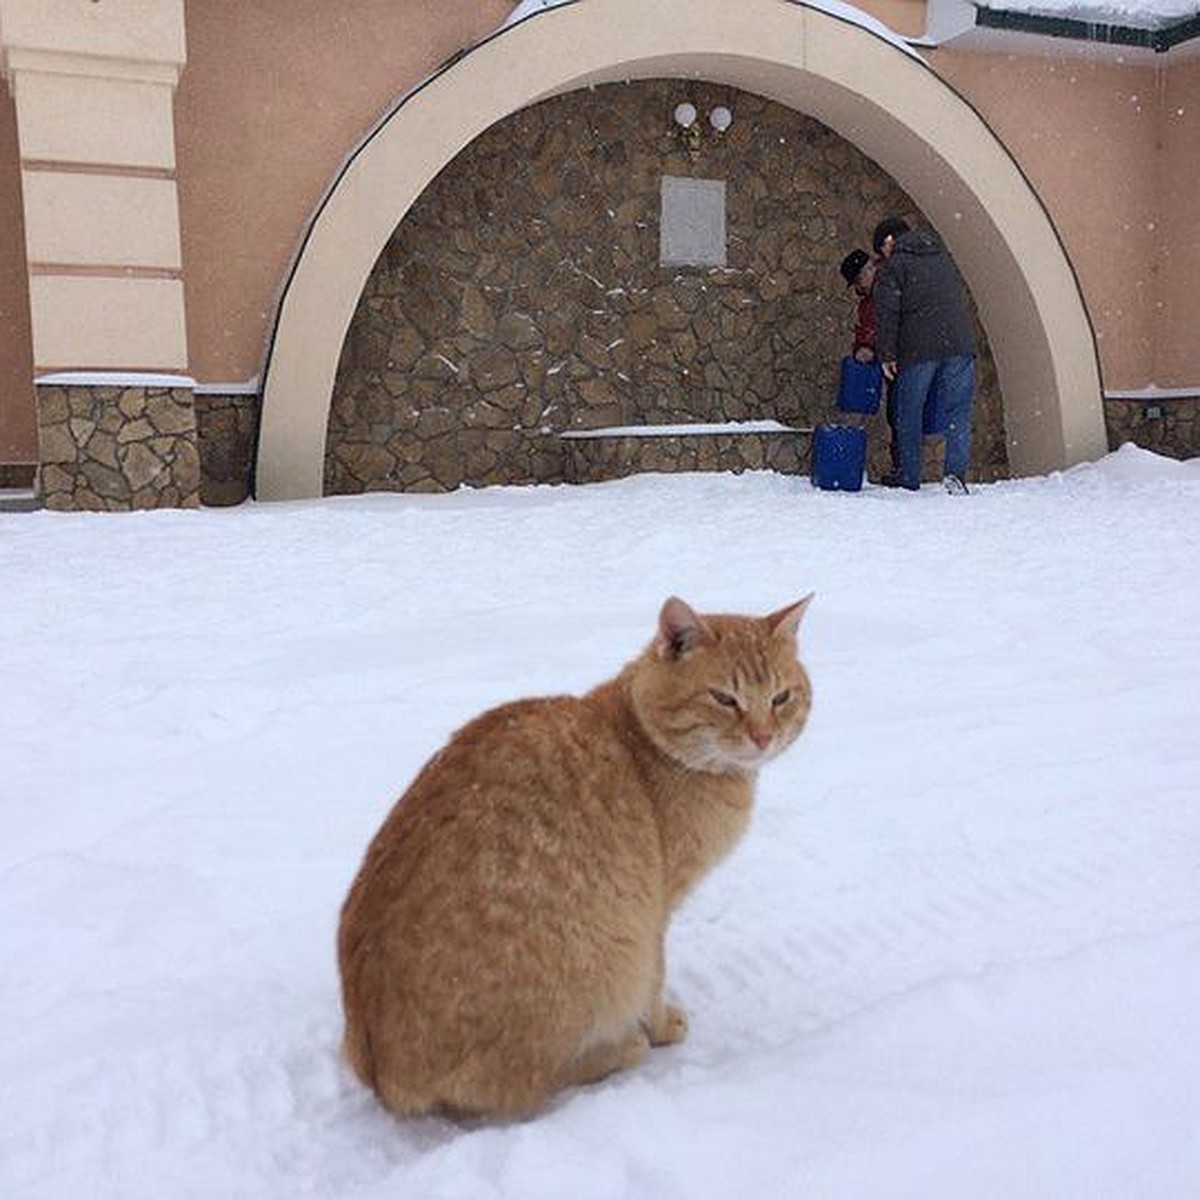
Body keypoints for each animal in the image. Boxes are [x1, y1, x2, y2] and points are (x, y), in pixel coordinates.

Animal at [333, 595, 811, 1118]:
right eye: (724, 698)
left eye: (781, 698)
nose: (763, 736)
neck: (640, 735)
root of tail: (384, 1078)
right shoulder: (654, 910)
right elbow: (655, 977)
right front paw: (660, 1026)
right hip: (609, 951)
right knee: (524, 1084)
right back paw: (620, 1048)